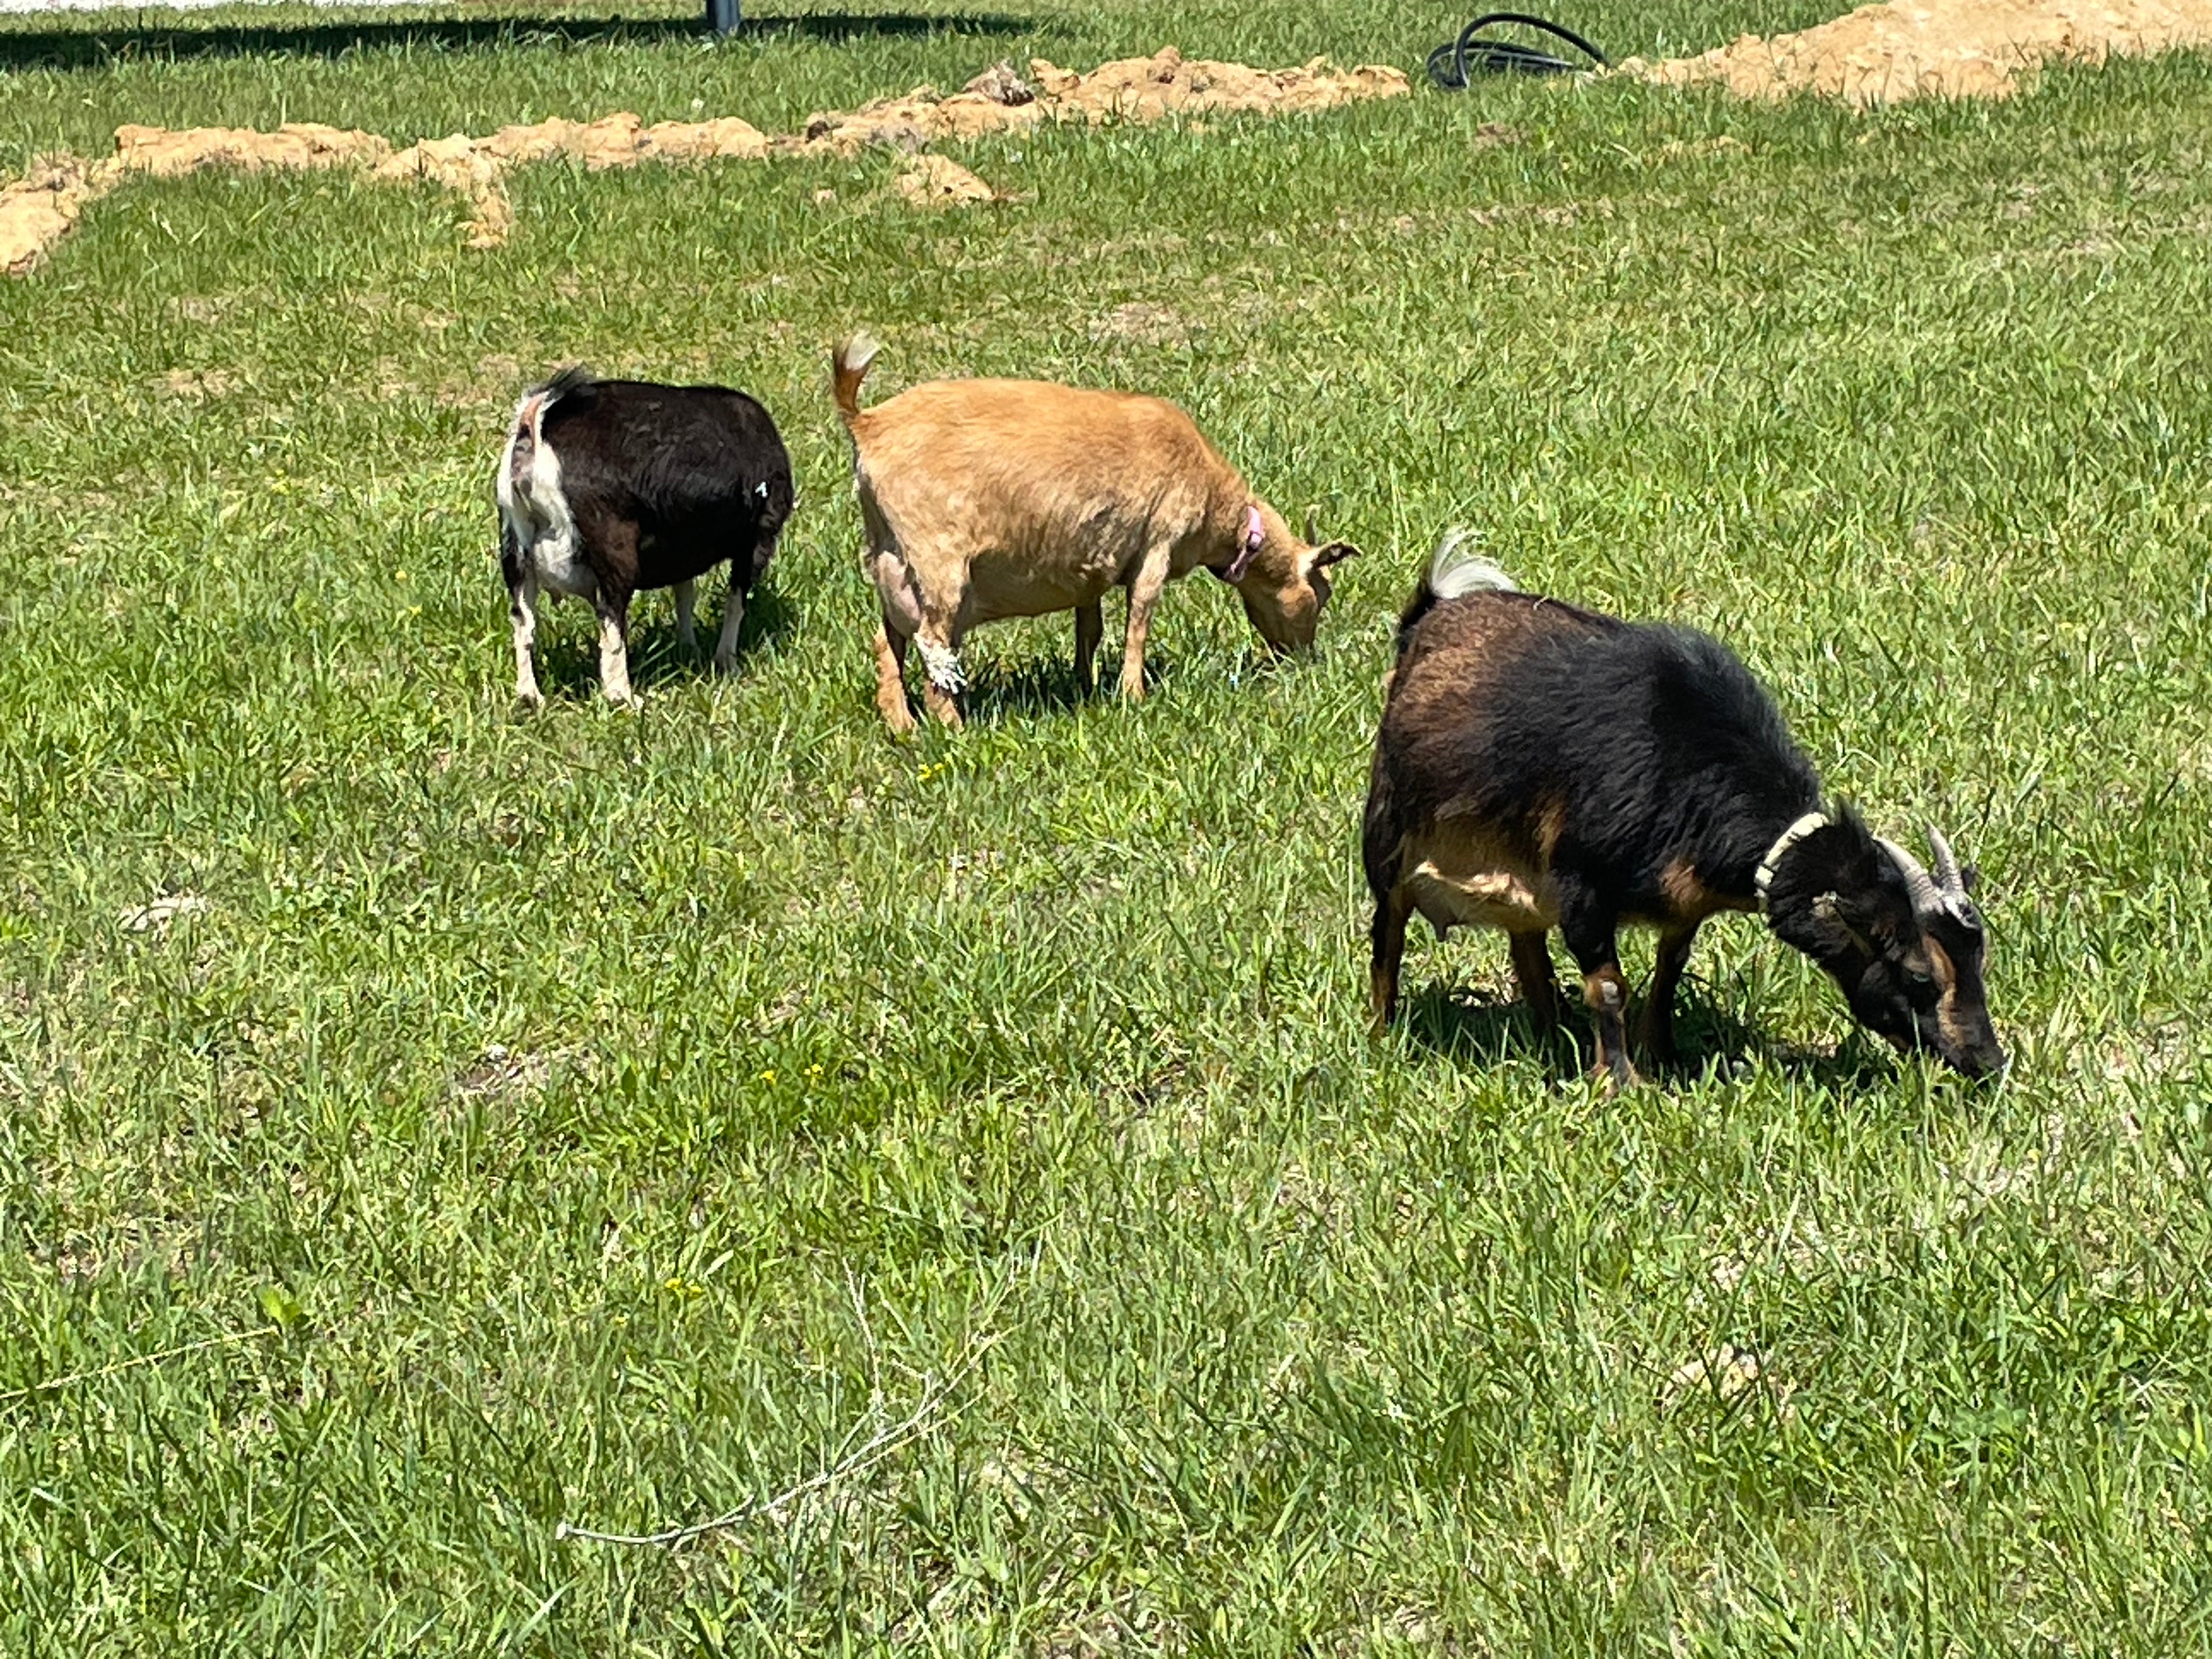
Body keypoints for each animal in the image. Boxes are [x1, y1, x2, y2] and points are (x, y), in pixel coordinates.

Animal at [496, 368, 794, 706]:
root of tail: (534, 427)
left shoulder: (682, 547)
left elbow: (684, 594)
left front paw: (688, 649)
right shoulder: (757, 538)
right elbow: (735, 602)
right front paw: (726, 662)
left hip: (515, 550)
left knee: (524, 621)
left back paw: (531, 697)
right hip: (614, 546)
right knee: (611, 621)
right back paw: (624, 697)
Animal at [830, 334, 1359, 733]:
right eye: (1322, 593)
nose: (1302, 660)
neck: (1217, 505)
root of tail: (868, 423)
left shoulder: (1090, 570)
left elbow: (1090, 627)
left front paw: (1085, 684)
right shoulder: (1158, 543)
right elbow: (1139, 620)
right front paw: (1133, 694)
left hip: (889, 558)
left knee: (888, 641)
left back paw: (902, 724)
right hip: (936, 559)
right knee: (932, 644)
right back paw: (952, 727)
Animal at [1363, 536, 2005, 1086]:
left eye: (1980, 960)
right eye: (1921, 973)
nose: (1989, 1063)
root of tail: (1429, 619)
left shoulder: (1684, 903)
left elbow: (1669, 972)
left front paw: (1663, 1055)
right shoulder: (1581, 885)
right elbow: (1610, 987)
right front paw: (1621, 1082)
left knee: (1526, 944)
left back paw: (1551, 1035)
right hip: (1390, 832)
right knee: (1387, 932)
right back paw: (1381, 1036)